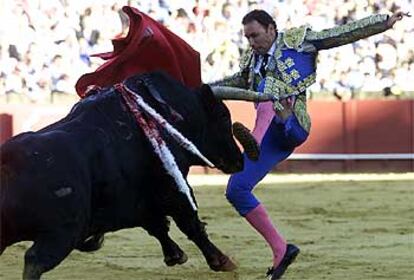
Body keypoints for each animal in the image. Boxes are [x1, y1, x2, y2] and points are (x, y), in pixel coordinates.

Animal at [0, 71, 249, 278]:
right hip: (62, 233)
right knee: (34, 261)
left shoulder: (138, 202)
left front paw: (175, 255)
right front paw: (222, 261)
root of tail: (10, 161)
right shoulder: (173, 187)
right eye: (224, 116)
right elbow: (190, 224)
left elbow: (157, 226)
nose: (239, 160)